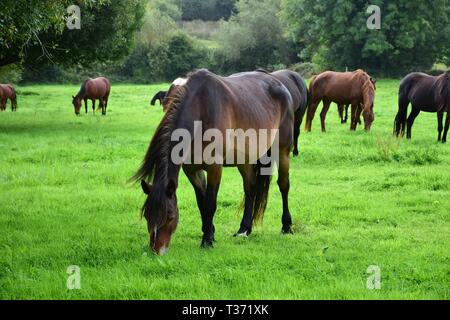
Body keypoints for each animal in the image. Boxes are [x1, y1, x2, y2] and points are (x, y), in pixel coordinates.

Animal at [132, 70, 298, 255]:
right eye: (146, 215)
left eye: (170, 217)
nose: (156, 250)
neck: (200, 110)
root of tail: (278, 82)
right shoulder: (191, 169)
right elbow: (202, 203)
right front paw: (209, 232)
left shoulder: (214, 168)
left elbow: (210, 203)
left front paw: (207, 241)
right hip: (245, 159)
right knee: (250, 189)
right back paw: (244, 229)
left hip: (282, 151)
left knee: (283, 185)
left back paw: (286, 226)